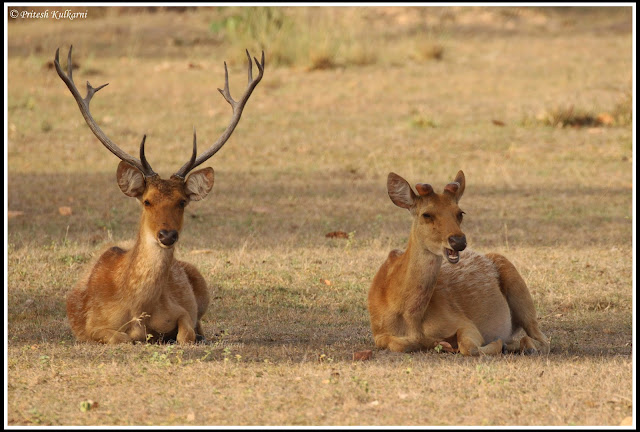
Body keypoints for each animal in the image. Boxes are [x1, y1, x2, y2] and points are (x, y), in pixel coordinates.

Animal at [55, 47, 264, 344]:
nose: (167, 235)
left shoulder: (182, 312)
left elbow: (187, 333)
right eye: (147, 201)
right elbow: (122, 337)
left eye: (182, 202)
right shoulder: (91, 325)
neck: (138, 309)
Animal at [370, 170, 552, 356]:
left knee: (542, 339)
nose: (458, 241)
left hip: (519, 290)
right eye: (426, 214)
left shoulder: (462, 321)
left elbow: (469, 347)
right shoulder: (378, 333)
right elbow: (398, 343)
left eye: (460, 212)